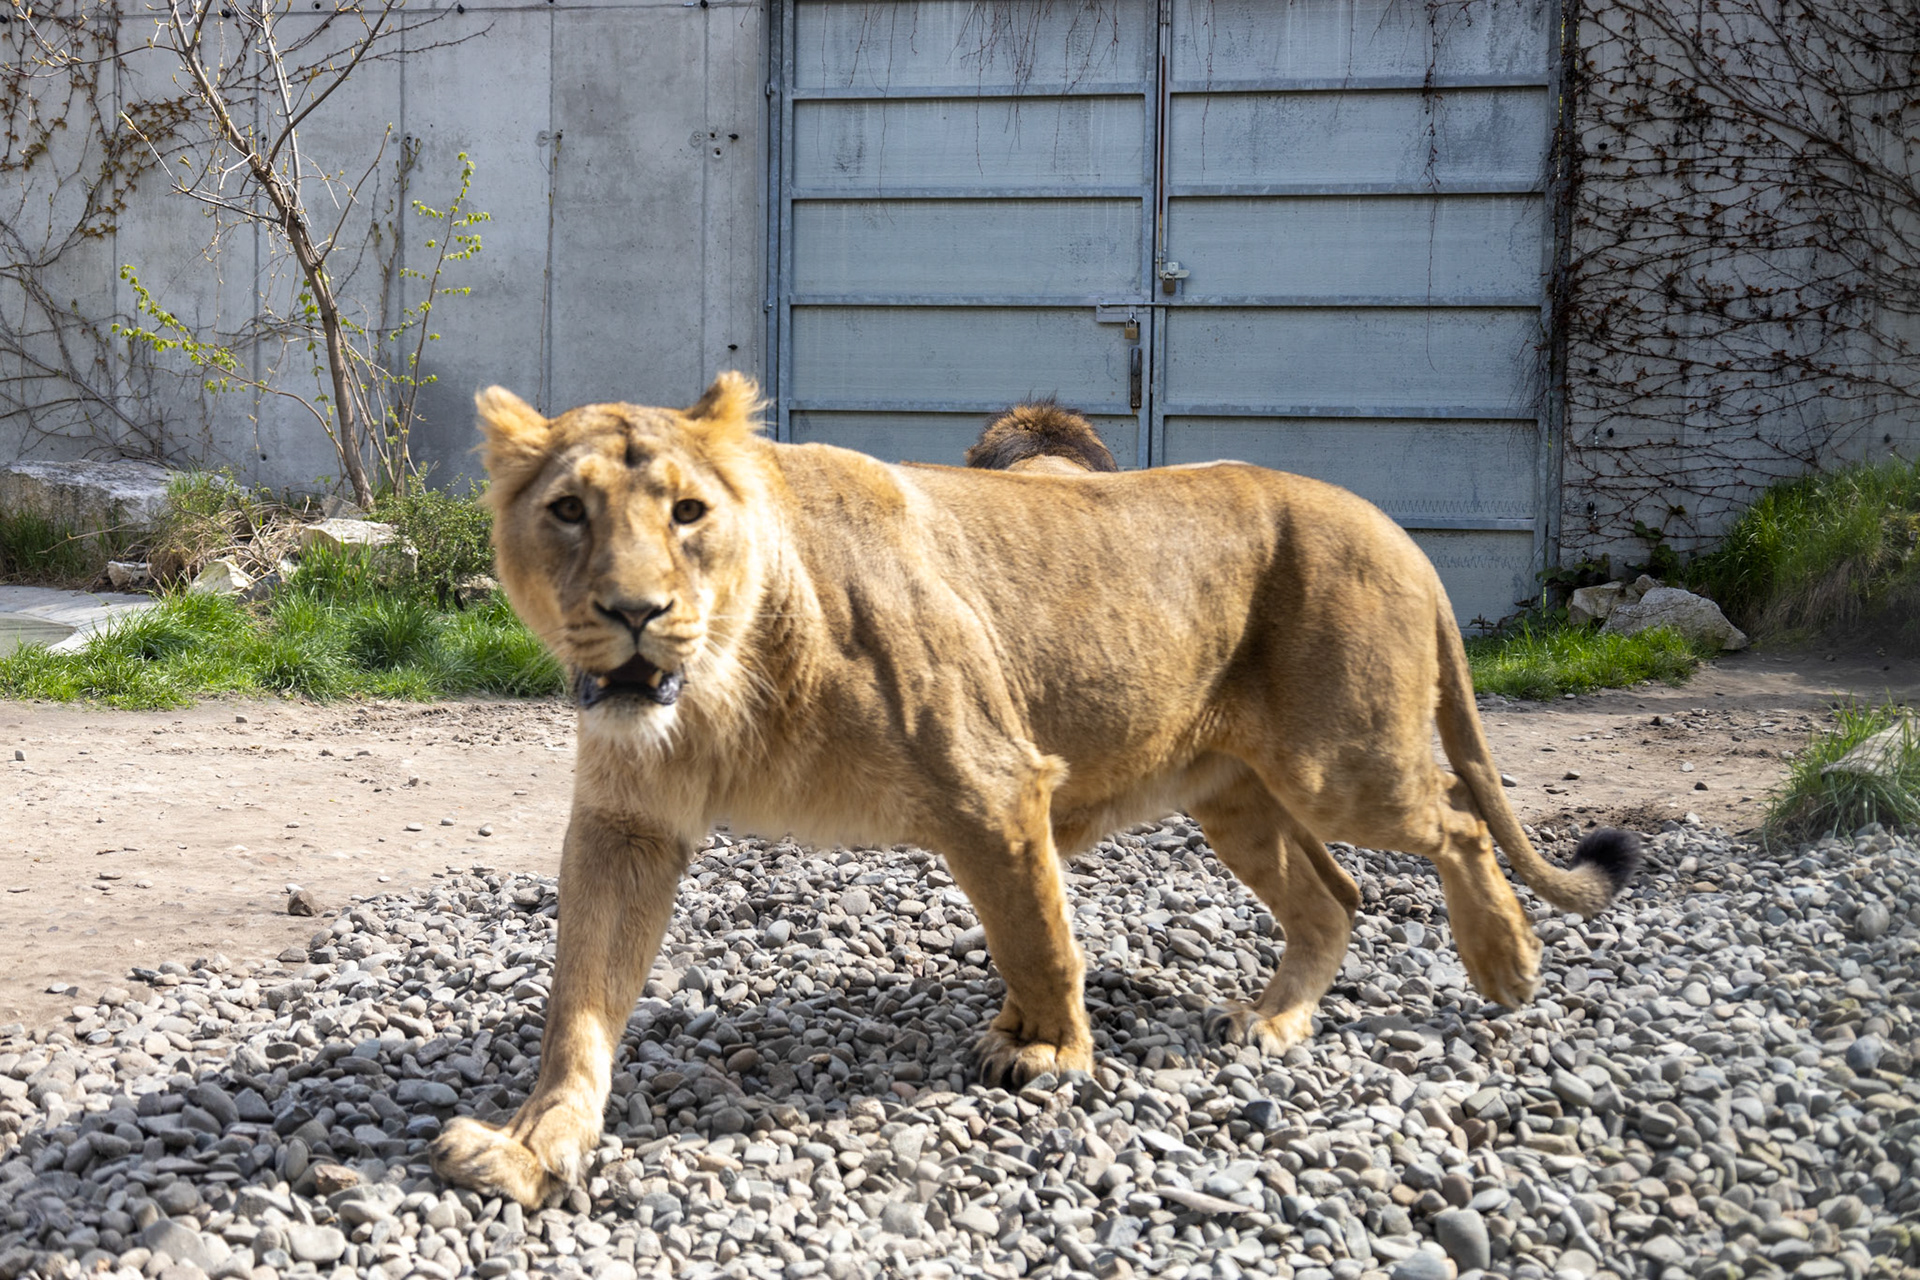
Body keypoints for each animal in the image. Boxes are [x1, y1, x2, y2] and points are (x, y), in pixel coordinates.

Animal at [431, 373, 1640, 1208]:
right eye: (570, 511)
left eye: (687, 512)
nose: (636, 612)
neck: (728, 677)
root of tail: (1394, 527)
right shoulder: (630, 821)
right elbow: (582, 1002)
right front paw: (532, 1146)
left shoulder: (994, 783)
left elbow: (1038, 934)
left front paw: (1052, 1051)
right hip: (1237, 796)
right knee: (1335, 896)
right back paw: (1274, 1022)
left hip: (1343, 764)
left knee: (1457, 822)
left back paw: (1507, 964)